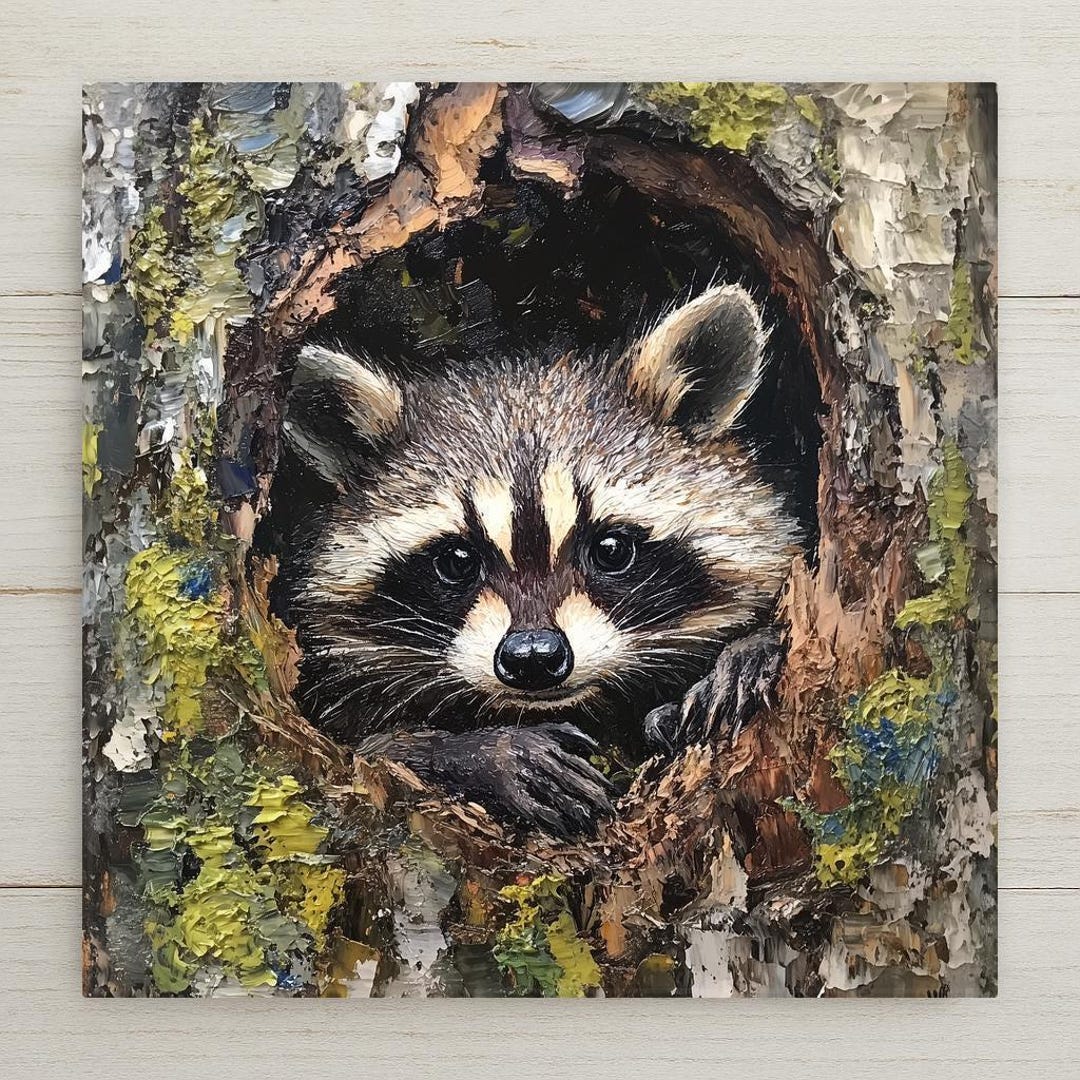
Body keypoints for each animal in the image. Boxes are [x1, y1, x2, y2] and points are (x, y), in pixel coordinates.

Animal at [265, 285, 803, 838]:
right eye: (457, 560)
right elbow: (375, 750)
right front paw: (481, 753)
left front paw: (750, 650)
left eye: (611, 549)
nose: (533, 657)